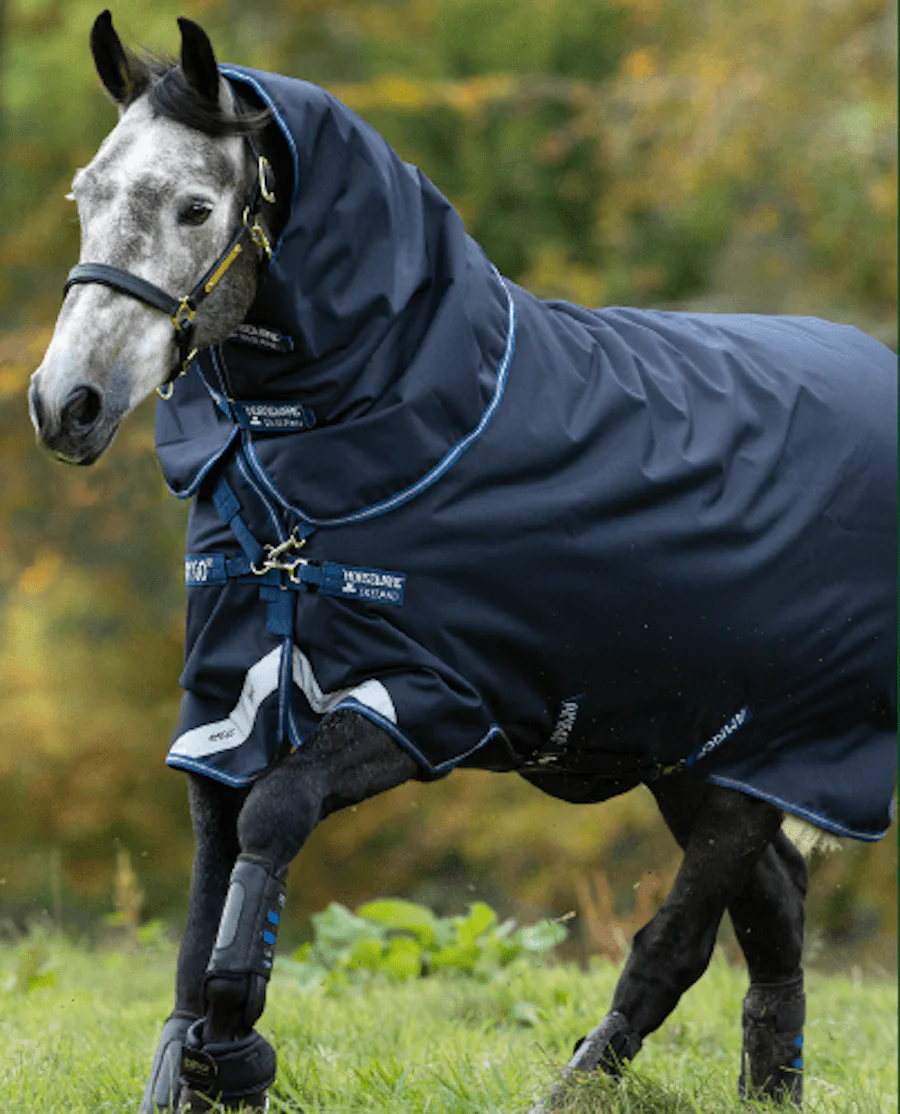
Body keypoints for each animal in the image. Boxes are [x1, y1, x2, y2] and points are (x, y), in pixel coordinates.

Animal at [29, 12, 897, 1113]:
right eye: (85, 196)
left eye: (194, 206)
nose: (67, 403)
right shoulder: (225, 704)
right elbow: (205, 891)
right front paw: (202, 1062)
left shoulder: (422, 696)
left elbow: (275, 816)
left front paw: (235, 1042)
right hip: (690, 746)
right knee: (776, 902)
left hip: (775, 744)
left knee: (682, 937)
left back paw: (577, 1085)